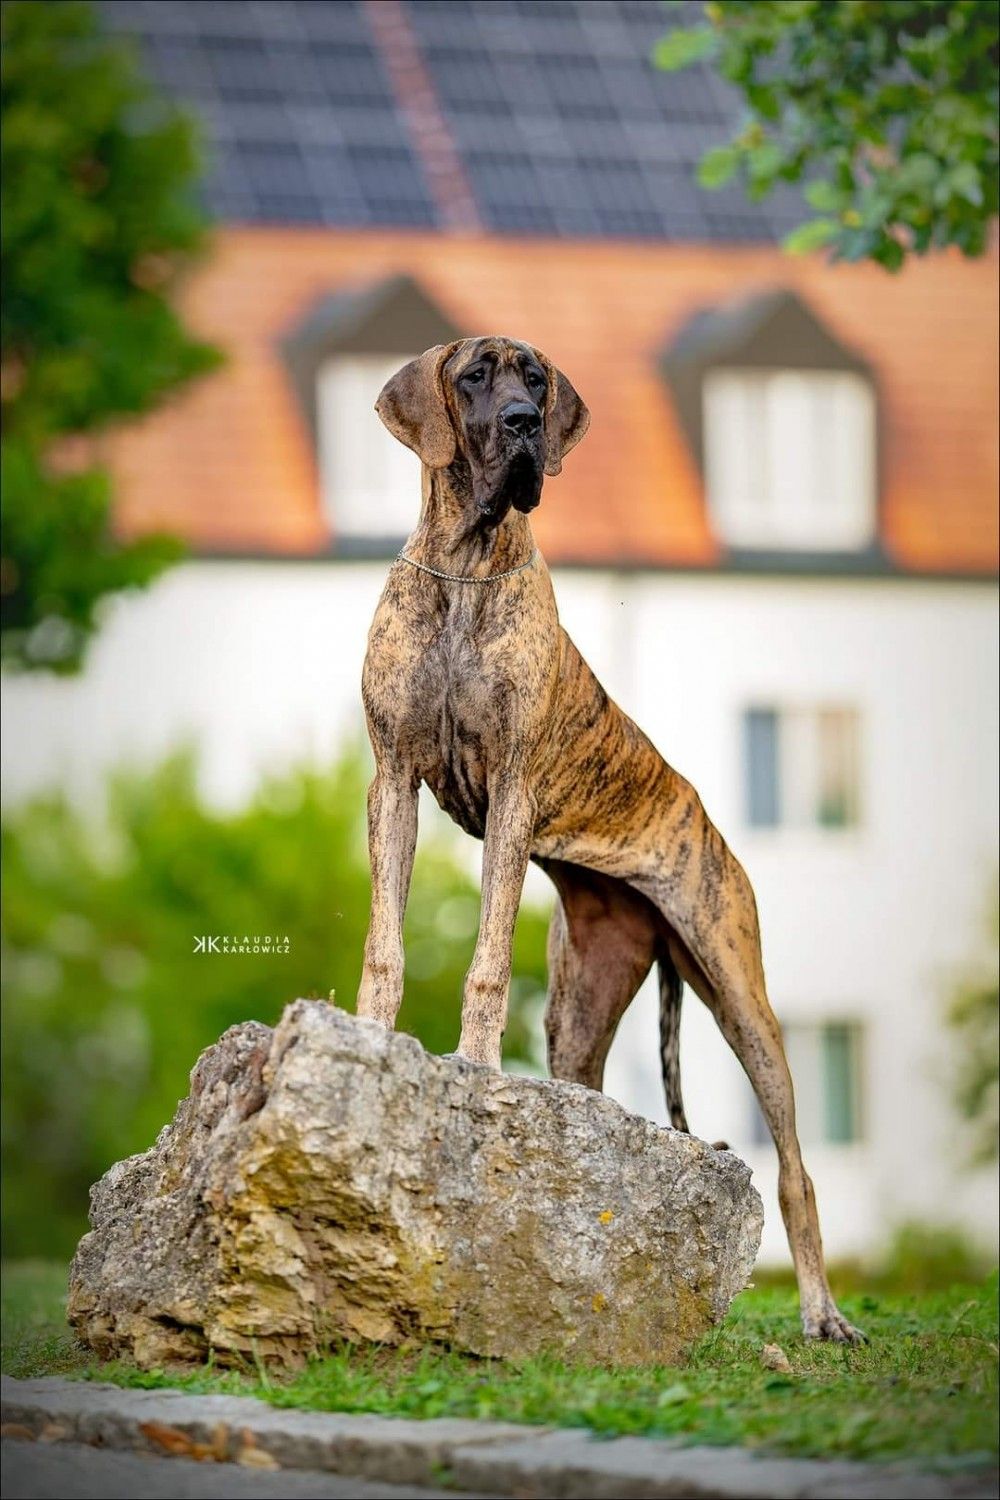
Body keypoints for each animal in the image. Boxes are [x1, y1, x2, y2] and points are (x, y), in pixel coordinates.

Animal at [356, 336, 864, 1344]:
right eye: (475, 375)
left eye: (536, 379)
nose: (522, 423)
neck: (466, 567)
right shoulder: (392, 780)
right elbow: (385, 943)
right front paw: (367, 1037)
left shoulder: (512, 793)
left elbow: (484, 959)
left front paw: (474, 1067)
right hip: (582, 1006)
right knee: (588, 1085)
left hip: (741, 992)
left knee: (795, 1166)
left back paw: (823, 1312)